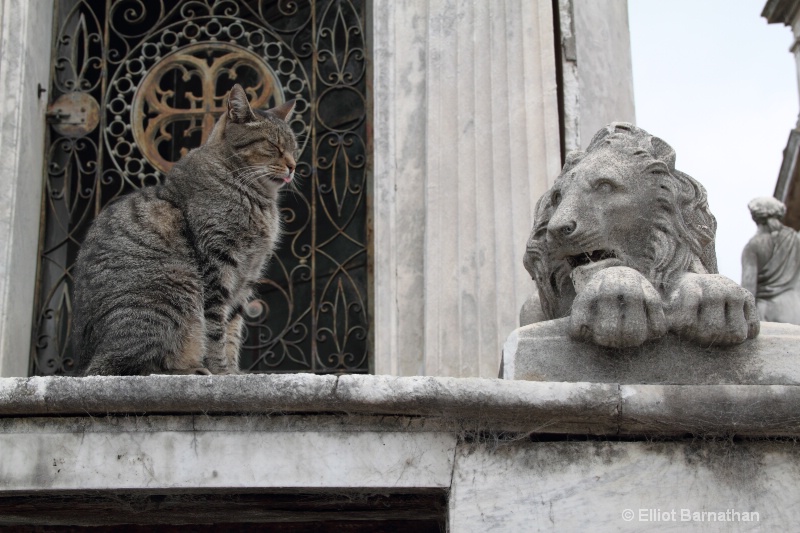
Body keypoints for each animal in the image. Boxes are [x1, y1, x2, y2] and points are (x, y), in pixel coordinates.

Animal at [71, 84, 296, 374]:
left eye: (294, 148)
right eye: (272, 145)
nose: (293, 166)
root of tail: (84, 361)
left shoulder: (247, 277)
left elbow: (232, 329)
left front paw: (233, 371)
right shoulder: (217, 263)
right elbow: (215, 330)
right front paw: (221, 371)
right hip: (173, 291)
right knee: (131, 365)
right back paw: (193, 369)